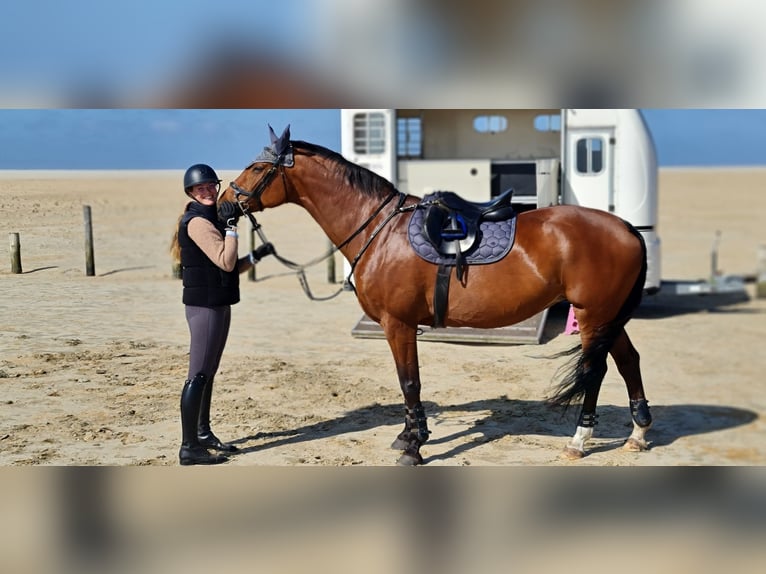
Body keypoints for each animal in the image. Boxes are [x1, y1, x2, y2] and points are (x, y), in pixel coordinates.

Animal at [218, 125, 652, 465]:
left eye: (258, 167)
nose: (225, 204)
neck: (380, 229)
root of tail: (627, 228)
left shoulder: (398, 324)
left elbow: (409, 382)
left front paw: (414, 445)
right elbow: (408, 383)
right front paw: (409, 435)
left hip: (593, 315)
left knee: (596, 370)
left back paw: (579, 441)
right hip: (608, 316)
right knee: (629, 360)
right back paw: (638, 433)